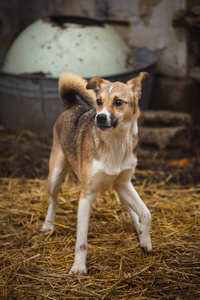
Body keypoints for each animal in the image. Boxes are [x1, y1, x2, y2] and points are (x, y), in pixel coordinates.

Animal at [41, 71, 152, 274]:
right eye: (99, 101)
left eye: (118, 102)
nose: (99, 117)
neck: (114, 143)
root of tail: (73, 107)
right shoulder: (87, 195)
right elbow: (81, 240)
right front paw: (78, 268)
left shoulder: (124, 183)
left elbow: (146, 213)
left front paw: (145, 240)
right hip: (55, 175)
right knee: (54, 200)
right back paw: (48, 224)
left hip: (120, 189)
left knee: (133, 210)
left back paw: (138, 230)